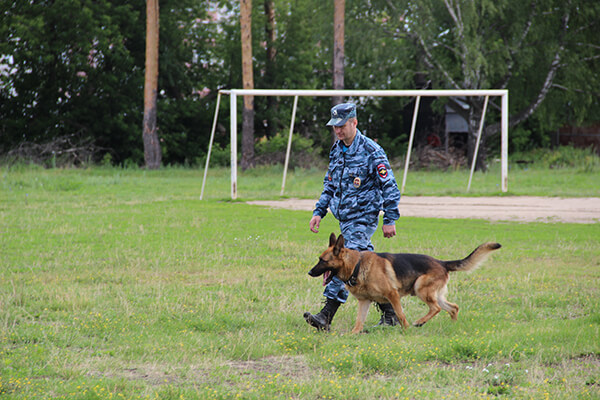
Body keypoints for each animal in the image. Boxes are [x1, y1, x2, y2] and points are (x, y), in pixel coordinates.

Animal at [308, 233, 500, 332]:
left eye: (322, 260)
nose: (309, 272)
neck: (357, 265)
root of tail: (441, 262)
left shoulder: (392, 294)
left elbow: (400, 314)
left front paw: (406, 330)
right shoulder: (364, 302)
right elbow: (359, 321)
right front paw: (353, 334)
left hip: (420, 288)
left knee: (436, 308)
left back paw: (419, 322)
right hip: (435, 294)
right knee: (453, 307)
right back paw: (453, 326)